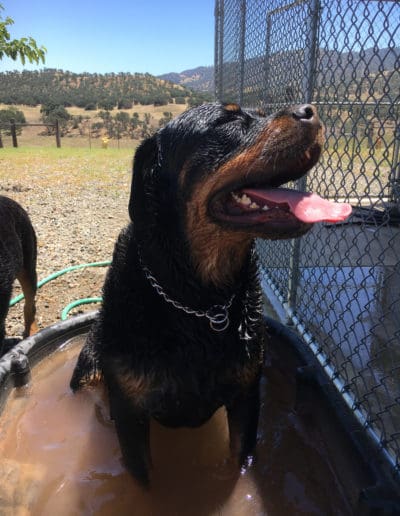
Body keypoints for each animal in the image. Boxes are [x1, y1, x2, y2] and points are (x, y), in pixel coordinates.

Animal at [71, 102, 350, 488]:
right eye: (228, 121)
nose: (309, 110)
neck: (198, 300)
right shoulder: (129, 413)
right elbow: (143, 484)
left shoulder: (247, 395)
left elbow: (239, 459)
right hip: (89, 370)